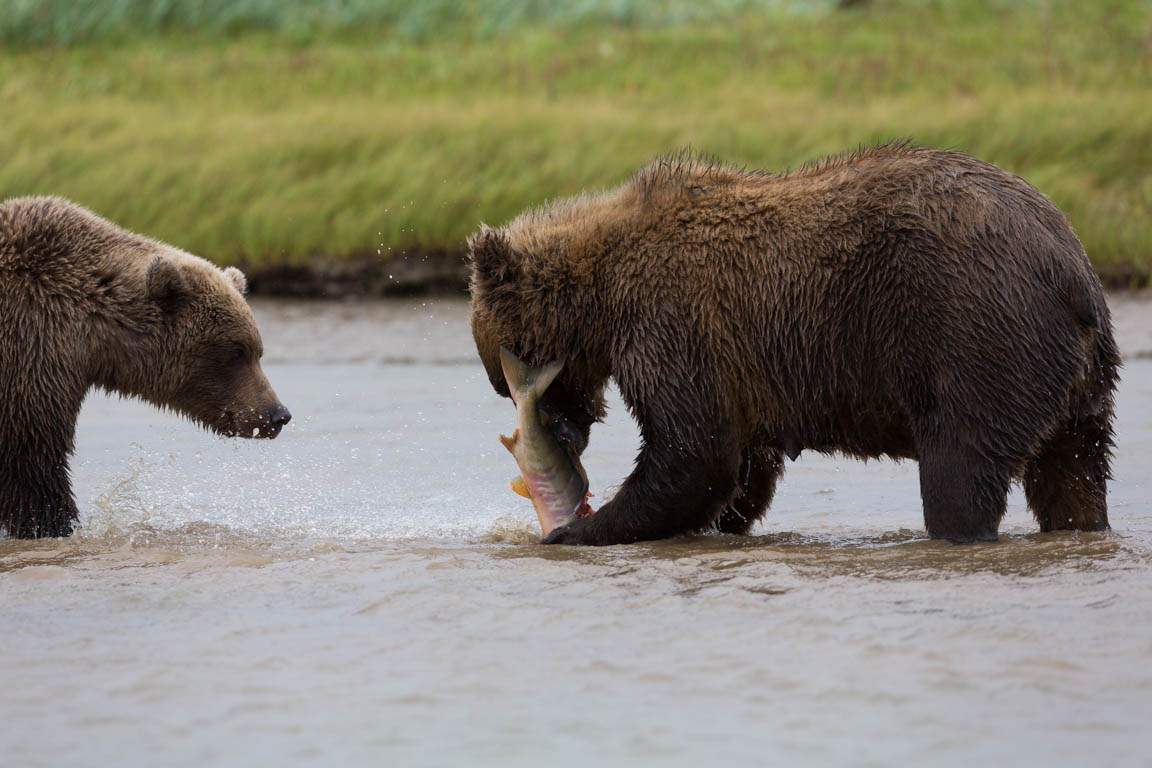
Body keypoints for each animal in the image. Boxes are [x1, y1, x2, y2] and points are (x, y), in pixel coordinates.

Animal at [0, 195, 292, 538]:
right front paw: (52, 524)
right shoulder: (32, 350)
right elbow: (33, 465)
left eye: (258, 351)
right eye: (237, 351)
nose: (278, 414)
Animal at [465, 142, 1115, 545]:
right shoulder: (737, 363)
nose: (562, 438)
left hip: (974, 333)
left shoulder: (672, 323)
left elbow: (691, 452)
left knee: (961, 467)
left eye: (507, 384)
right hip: (1077, 380)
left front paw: (579, 528)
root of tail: (1069, 264)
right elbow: (743, 464)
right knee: (1074, 472)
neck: (602, 297)